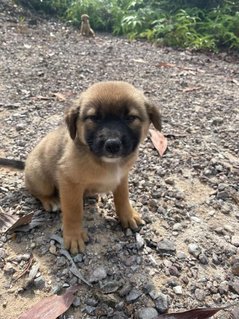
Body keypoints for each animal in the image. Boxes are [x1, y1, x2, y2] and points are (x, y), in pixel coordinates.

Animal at [0, 82, 161, 255]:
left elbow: (123, 197)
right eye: (94, 118)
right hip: (40, 179)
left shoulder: (122, 177)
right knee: (36, 191)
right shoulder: (69, 181)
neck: (106, 163)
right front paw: (74, 236)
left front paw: (127, 215)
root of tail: (26, 164)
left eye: (130, 117)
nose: (112, 145)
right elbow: (73, 211)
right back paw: (50, 200)